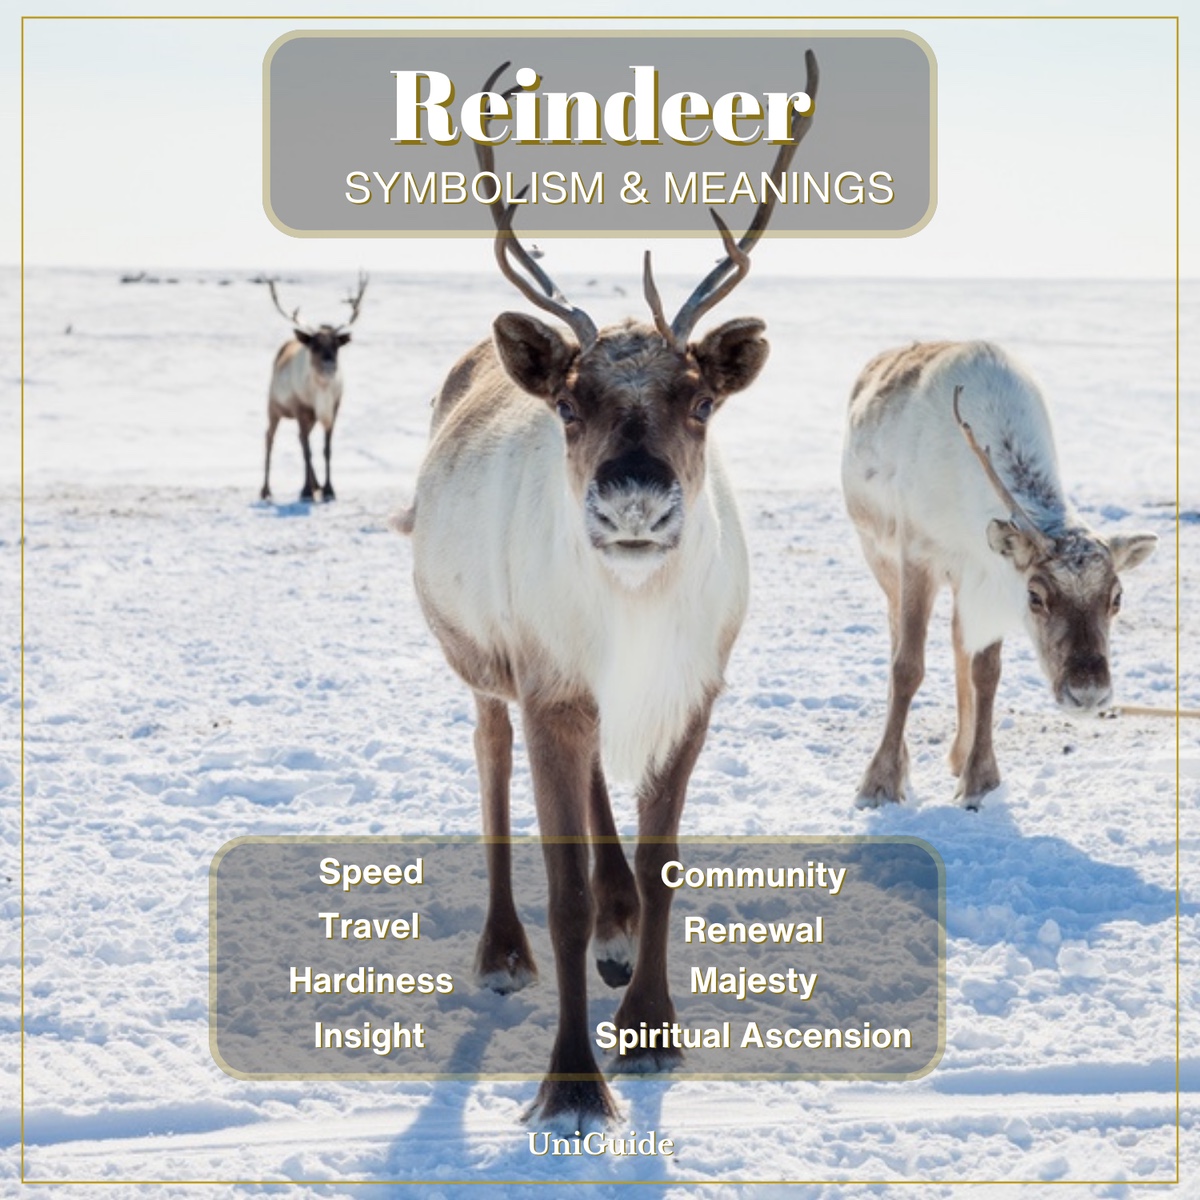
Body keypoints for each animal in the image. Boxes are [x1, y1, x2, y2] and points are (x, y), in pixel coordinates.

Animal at [261, 273, 368, 502]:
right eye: (314, 345)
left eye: (336, 345)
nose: (329, 365)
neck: (321, 392)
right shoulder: (300, 409)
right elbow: (307, 451)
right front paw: (307, 491)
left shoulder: (334, 408)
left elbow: (326, 449)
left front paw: (328, 489)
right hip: (274, 407)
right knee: (271, 438)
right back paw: (266, 490)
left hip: (309, 418)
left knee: (302, 438)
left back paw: (316, 485)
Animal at [400, 55, 818, 1125]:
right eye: (569, 404)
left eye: (702, 399)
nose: (635, 497)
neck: (632, 614)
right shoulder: (548, 687)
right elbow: (565, 892)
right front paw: (573, 1081)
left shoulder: (691, 691)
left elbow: (665, 865)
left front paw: (652, 1026)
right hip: (486, 667)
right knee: (492, 761)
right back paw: (504, 949)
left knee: (597, 804)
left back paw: (622, 933)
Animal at [842, 340, 1157, 810]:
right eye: (1036, 597)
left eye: (1116, 598)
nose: (1088, 693)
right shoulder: (917, 556)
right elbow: (907, 666)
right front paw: (878, 783)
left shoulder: (991, 578)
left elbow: (986, 671)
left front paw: (980, 779)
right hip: (877, 553)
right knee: (897, 634)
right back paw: (904, 760)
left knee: (958, 640)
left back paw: (958, 754)